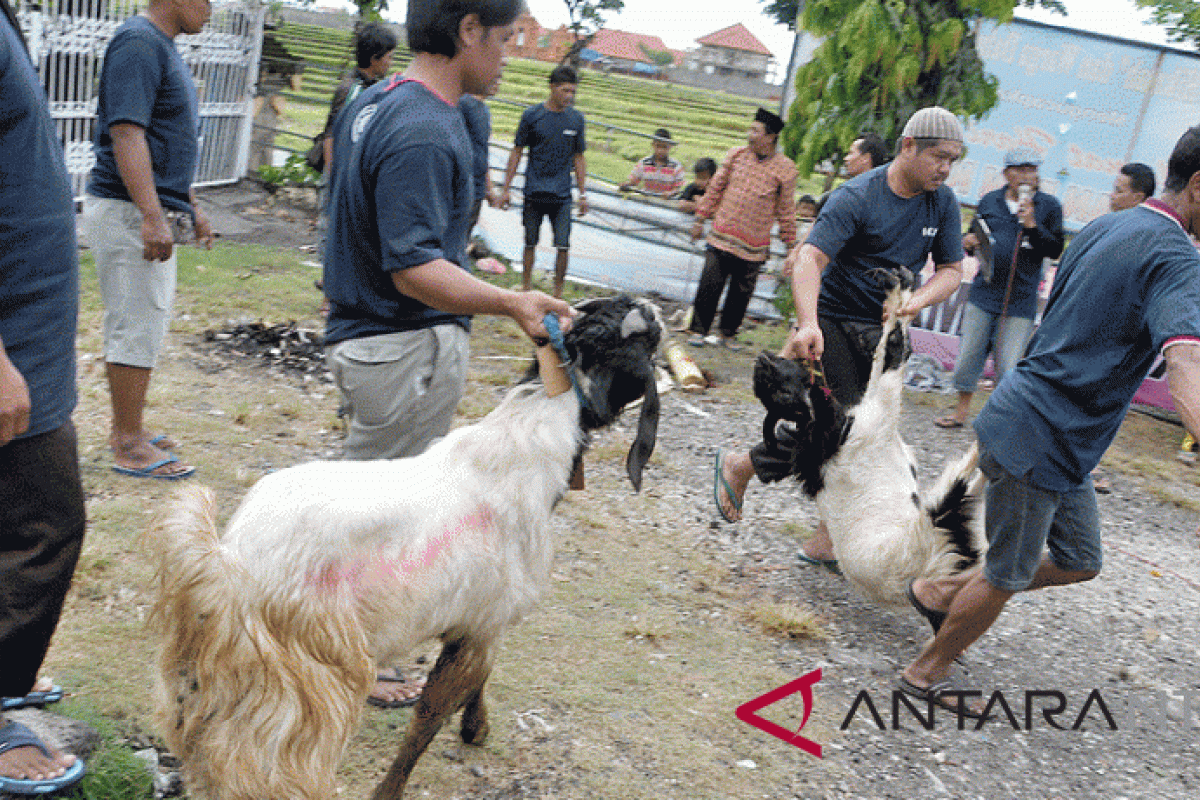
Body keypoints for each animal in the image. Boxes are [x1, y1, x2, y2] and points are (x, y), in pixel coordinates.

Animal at [753, 272, 988, 604]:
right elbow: (889, 356)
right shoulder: (879, 416)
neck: (832, 433)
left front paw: (897, 293)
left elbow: (881, 365)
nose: (763, 361)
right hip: (938, 520)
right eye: (782, 393)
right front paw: (897, 292)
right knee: (962, 483)